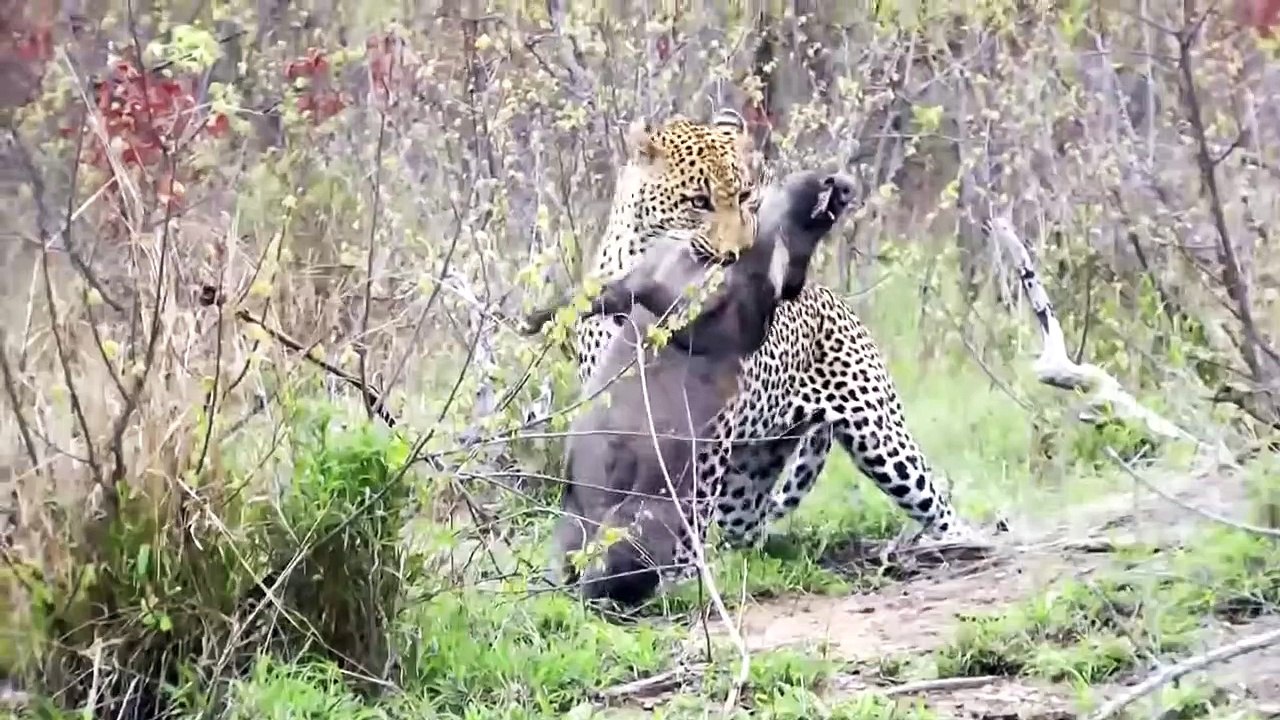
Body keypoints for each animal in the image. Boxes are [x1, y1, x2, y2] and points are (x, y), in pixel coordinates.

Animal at [575, 108, 981, 558]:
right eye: (699, 202)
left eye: (745, 196)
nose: (738, 252)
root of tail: (835, 300)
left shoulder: (708, 429)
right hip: (749, 477)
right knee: (746, 525)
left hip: (882, 438)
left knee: (936, 502)